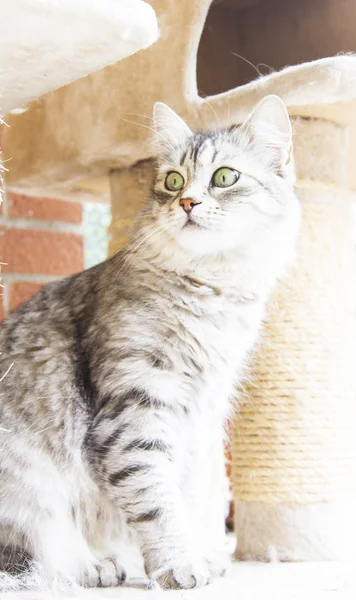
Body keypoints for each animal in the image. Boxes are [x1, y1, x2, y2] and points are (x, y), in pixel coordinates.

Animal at [0, 95, 300, 592]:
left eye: (225, 177)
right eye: (173, 180)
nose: (187, 202)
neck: (213, 289)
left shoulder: (203, 413)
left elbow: (193, 495)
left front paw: (206, 555)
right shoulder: (138, 404)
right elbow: (158, 502)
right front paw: (177, 567)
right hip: (29, 491)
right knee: (32, 558)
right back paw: (95, 565)